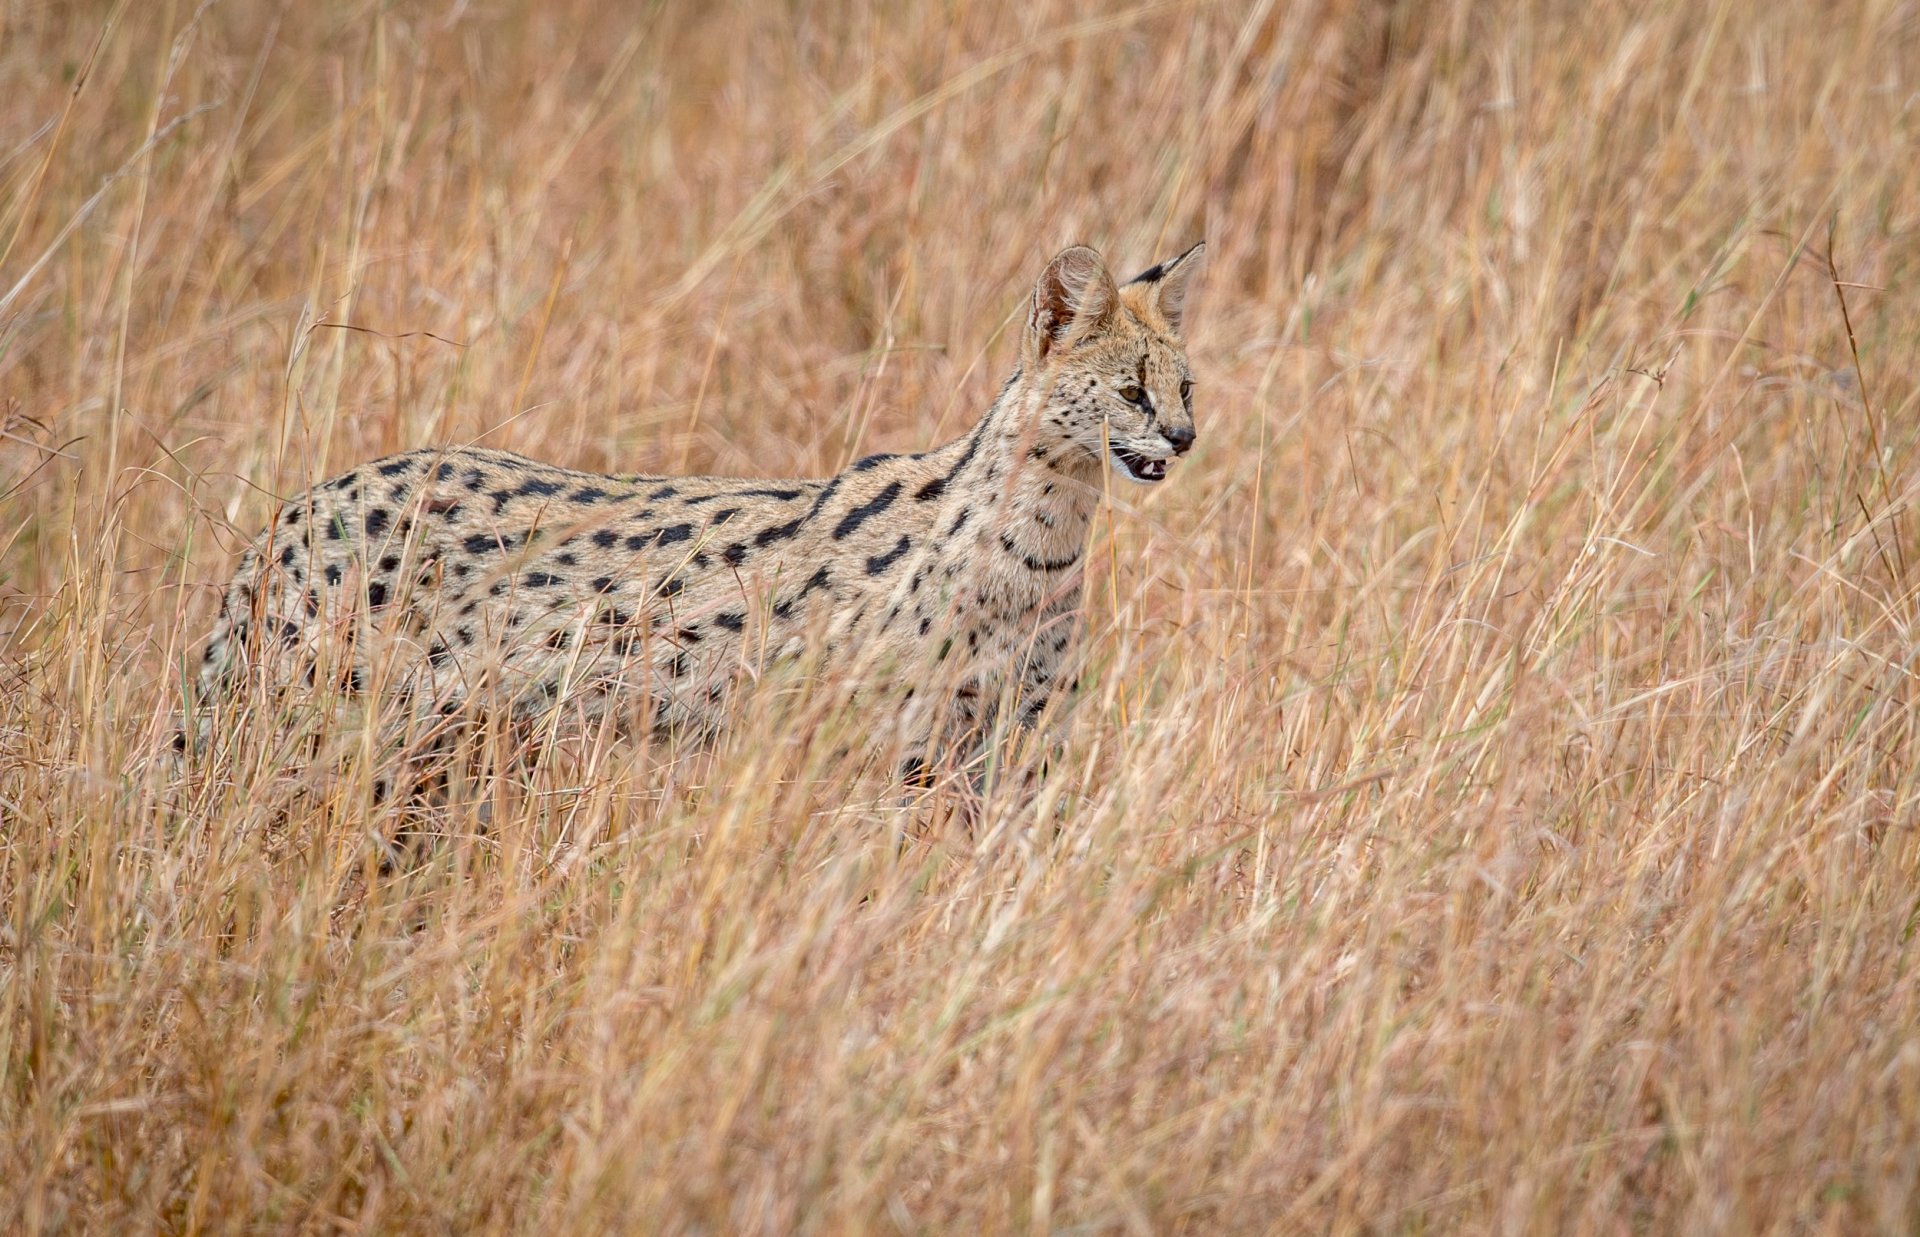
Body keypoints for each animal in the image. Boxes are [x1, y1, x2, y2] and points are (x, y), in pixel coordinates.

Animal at [187, 240, 1205, 783]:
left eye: (1186, 385)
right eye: (1130, 392)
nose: (1187, 436)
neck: (1045, 548)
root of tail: (291, 512)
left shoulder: (1016, 749)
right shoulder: (877, 746)